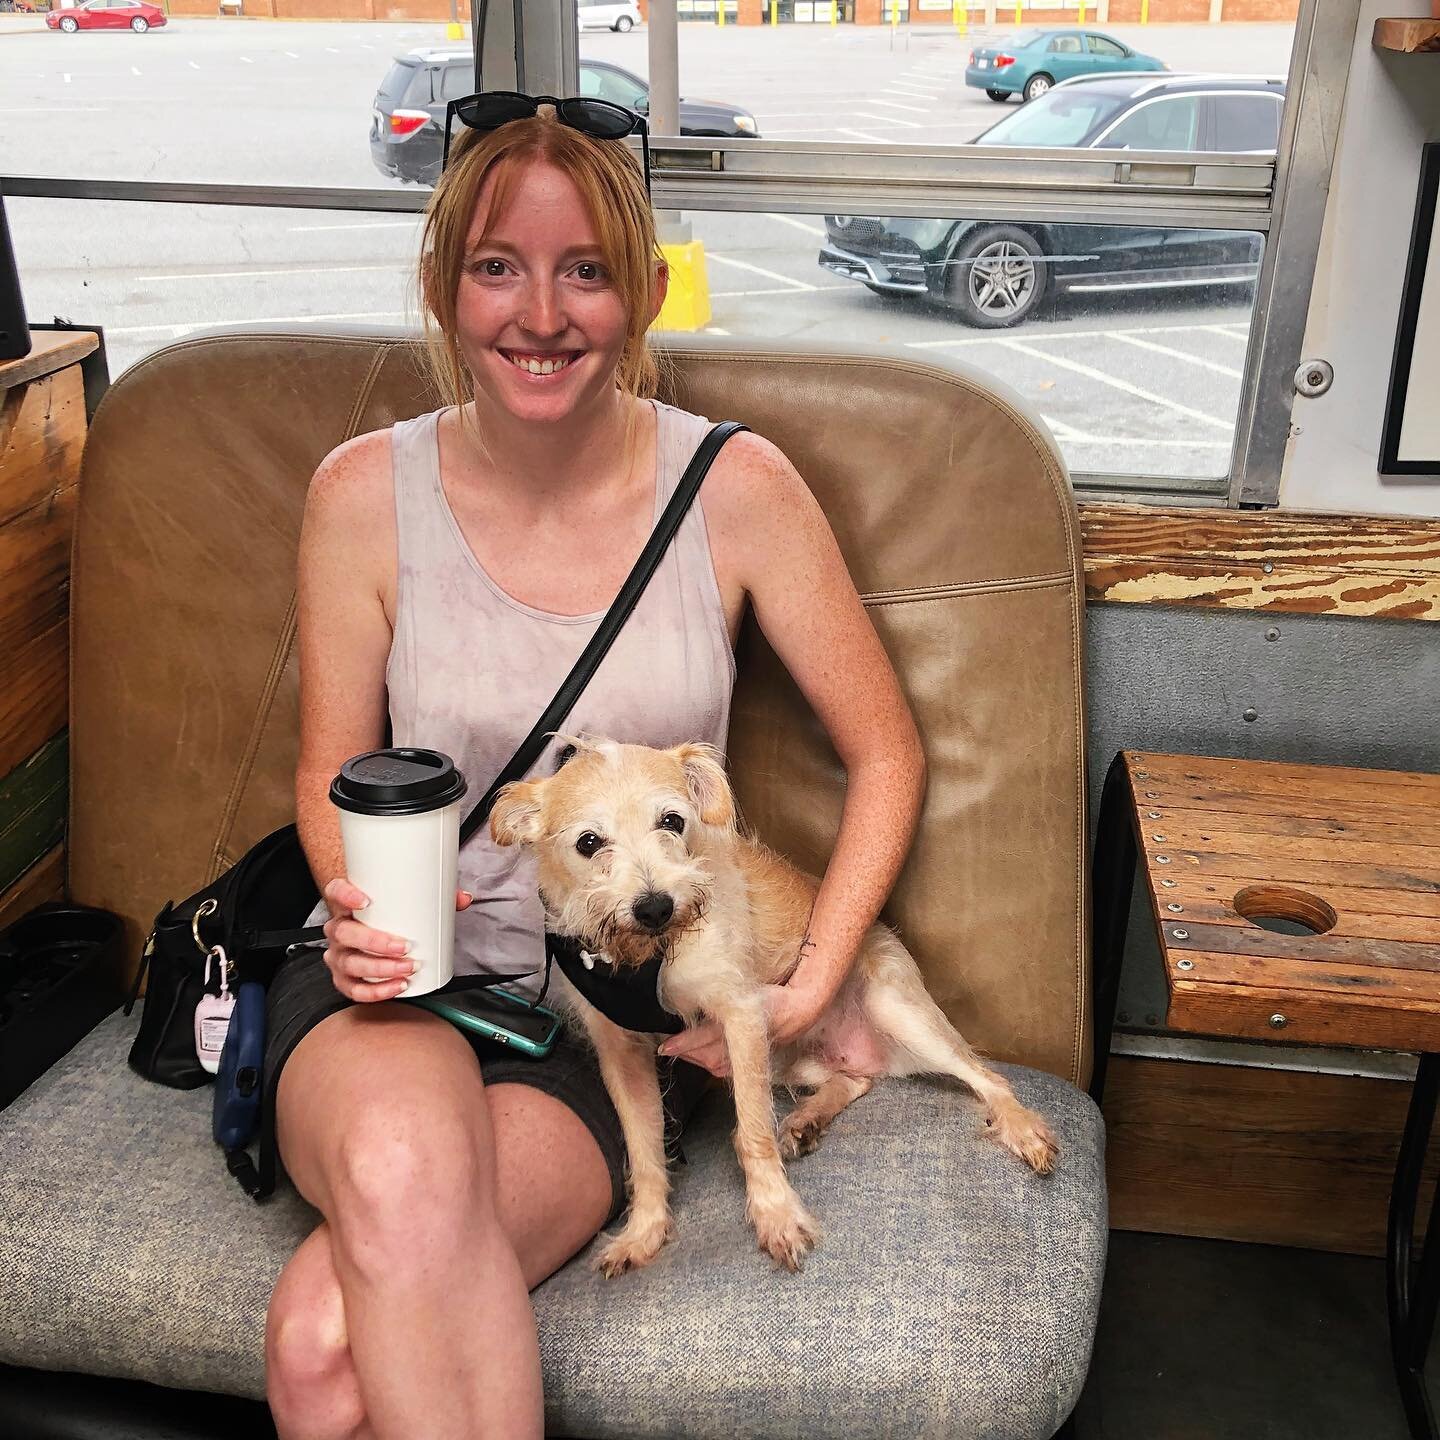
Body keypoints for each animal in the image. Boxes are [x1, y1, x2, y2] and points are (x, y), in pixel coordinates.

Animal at [492, 737, 1059, 1278]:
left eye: (672, 821)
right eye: (589, 842)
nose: (655, 907)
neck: (650, 957)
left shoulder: (741, 1016)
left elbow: (752, 1131)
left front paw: (777, 1215)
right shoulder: (620, 1050)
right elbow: (645, 1150)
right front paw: (643, 1232)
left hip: (895, 1011)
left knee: (987, 1076)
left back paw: (1022, 1129)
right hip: (796, 1060)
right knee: (856, 1079)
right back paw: (806, 1119)